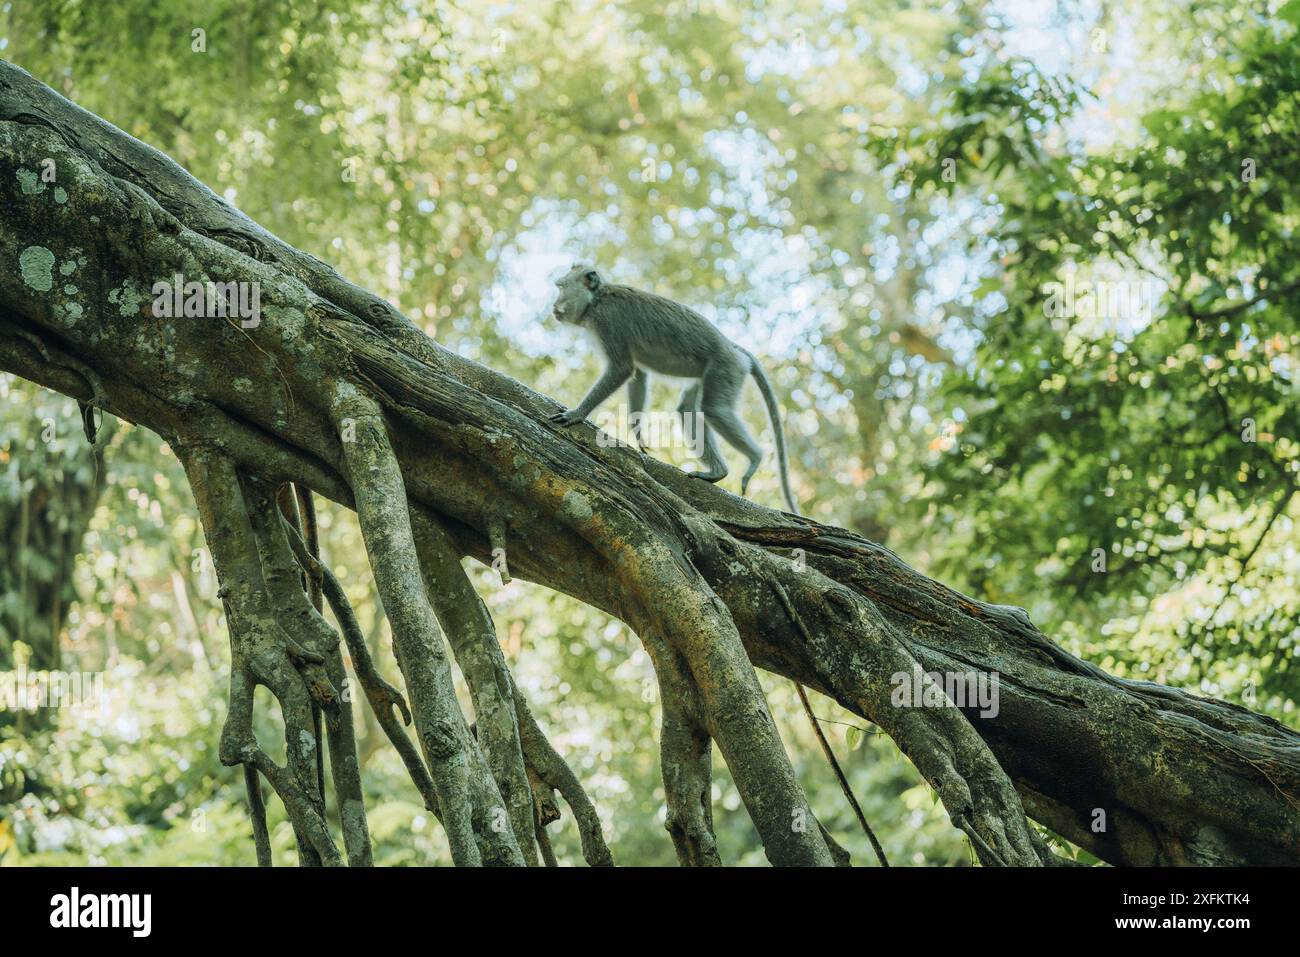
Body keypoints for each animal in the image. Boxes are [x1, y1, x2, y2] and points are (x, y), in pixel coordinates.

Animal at [547, 262, 799, 515]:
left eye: (560, 288)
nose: (553, 306)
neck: (597, 299)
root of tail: (733, 346)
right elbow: (639, 374)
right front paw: (637, 430)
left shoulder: (608, 320)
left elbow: (622, 369)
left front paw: (577, 414)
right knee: (687, 409)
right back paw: (718, 472)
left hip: (726, 367)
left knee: (714, 409)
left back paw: (755, 457)